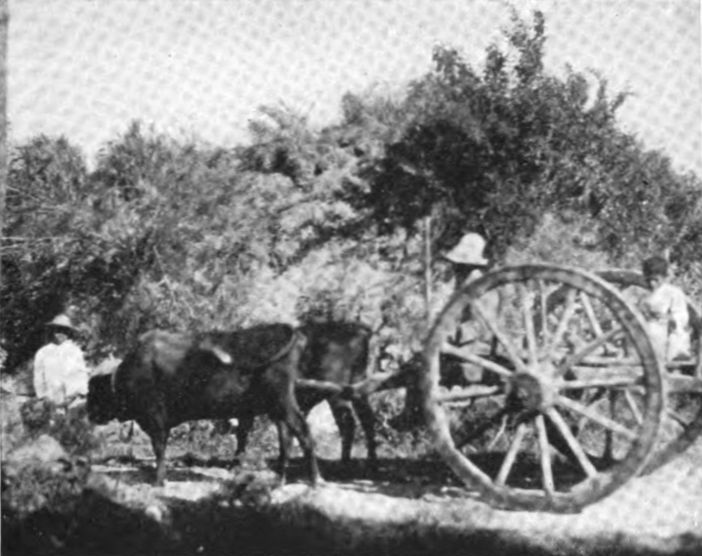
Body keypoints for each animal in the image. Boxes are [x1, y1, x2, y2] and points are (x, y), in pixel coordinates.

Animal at [86, 323, 320, 486]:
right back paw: (279, 479)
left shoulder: (156, 420)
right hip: (277, 410)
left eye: (94, 390)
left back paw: (315, 480)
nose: (89, 413)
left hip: (284, 404)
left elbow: (159, 449)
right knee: (286, 440)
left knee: (303, 433)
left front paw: (159, 480)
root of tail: (290, 331)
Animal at [231, 321, 378, 467]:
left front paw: (236, 461)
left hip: (337, 393)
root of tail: (359, 331)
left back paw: (344, 462)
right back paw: (371, 461)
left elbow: (243, 431)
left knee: (347, 423)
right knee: (367, 419)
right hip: (358, 385)